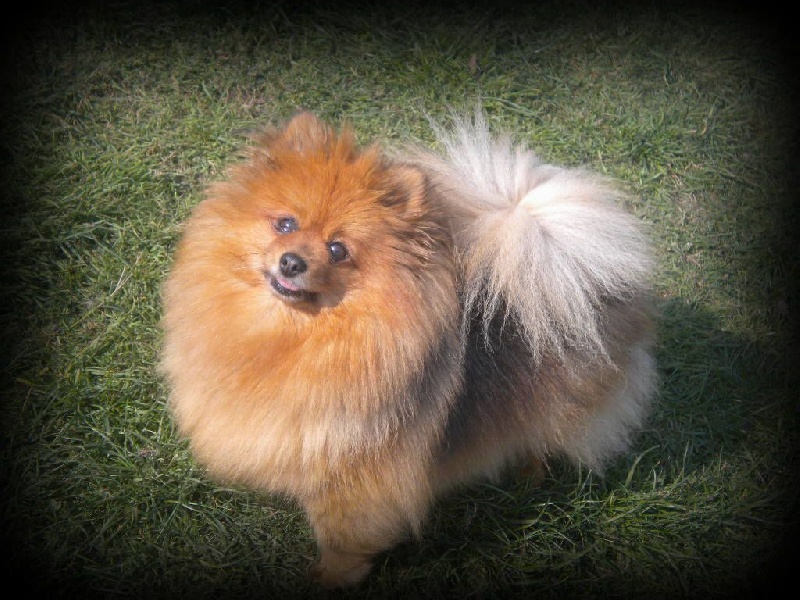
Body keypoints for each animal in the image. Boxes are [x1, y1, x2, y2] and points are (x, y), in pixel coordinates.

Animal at [161, 110, 656, 588]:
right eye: (285, 223)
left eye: (338, 250)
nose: (291, 261)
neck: (297, 336)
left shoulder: (356, 475)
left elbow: (341, 538)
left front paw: (328, 579)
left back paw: (528, 472)